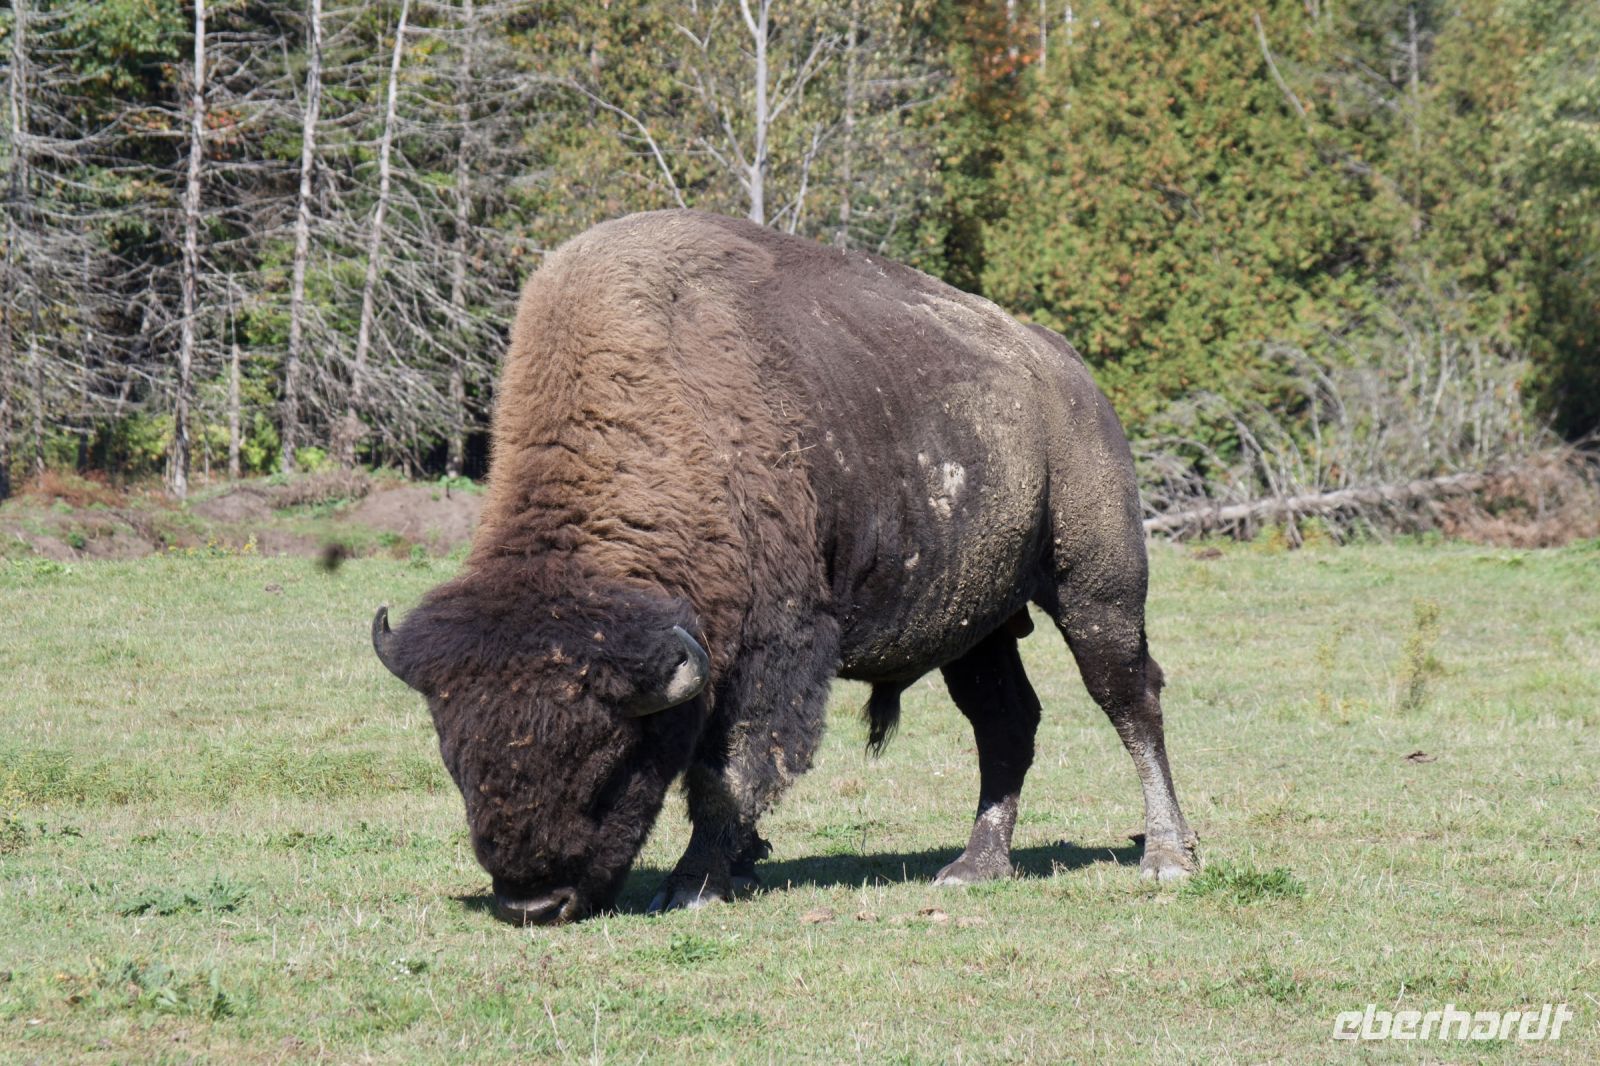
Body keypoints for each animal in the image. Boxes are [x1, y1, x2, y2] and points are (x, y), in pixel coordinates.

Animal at [372, 210, 1199, 924]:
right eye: (456, 761)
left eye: (609, 760)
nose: (534, 904)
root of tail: (1070, 374)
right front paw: (738, 863)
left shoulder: (770, 650)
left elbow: (728, 770)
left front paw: (693, 883)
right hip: (979, 625)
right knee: (1005, 724)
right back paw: (974, 867)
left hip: (1097, 590)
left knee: (1130, 699)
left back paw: (1165, 858)